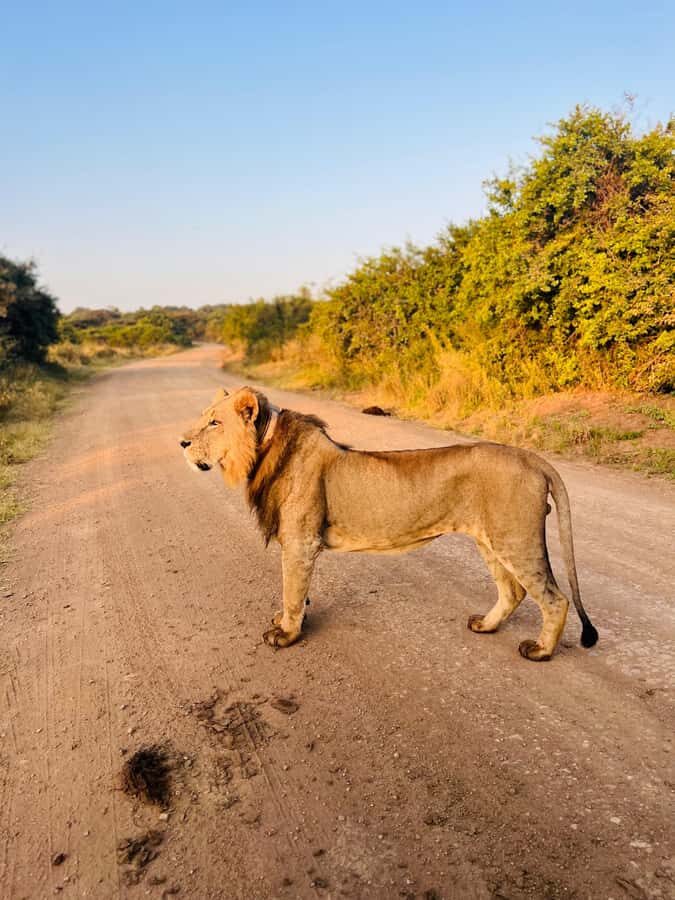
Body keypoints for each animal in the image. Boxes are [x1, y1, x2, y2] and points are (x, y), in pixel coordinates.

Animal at [181, 386, 598, 661]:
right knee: (513, 592)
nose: (182, 443)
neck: (261, 452)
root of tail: (532, 459)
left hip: (516, 539)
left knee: (555, 599)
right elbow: (296, 592)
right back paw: (486, 625)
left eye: (214, 422)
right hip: (491, 540)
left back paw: (540, 651)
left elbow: (292, 590)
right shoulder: (299, 543)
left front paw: (285, 634)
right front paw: (286, 621)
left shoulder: (301, 542)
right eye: (203, 419)